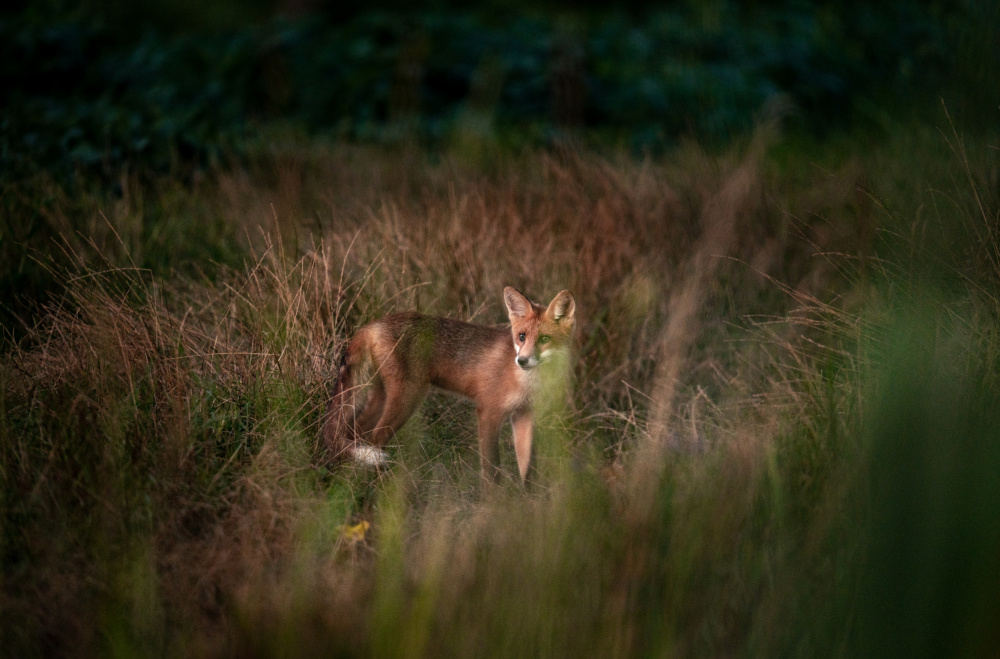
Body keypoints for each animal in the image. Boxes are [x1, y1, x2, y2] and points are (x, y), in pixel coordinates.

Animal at [324, 288, 576, 484]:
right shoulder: (488, 412)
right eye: (521, 336)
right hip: (406, 400)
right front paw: (494, 508)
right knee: (374, 440)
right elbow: (491, 471)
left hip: (383, 398)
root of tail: (372, 325)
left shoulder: (524, 416)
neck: (526, 382)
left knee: (356, 434)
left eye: (544, 340)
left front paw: (529, 507)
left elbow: (528, 471)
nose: (522, 361)